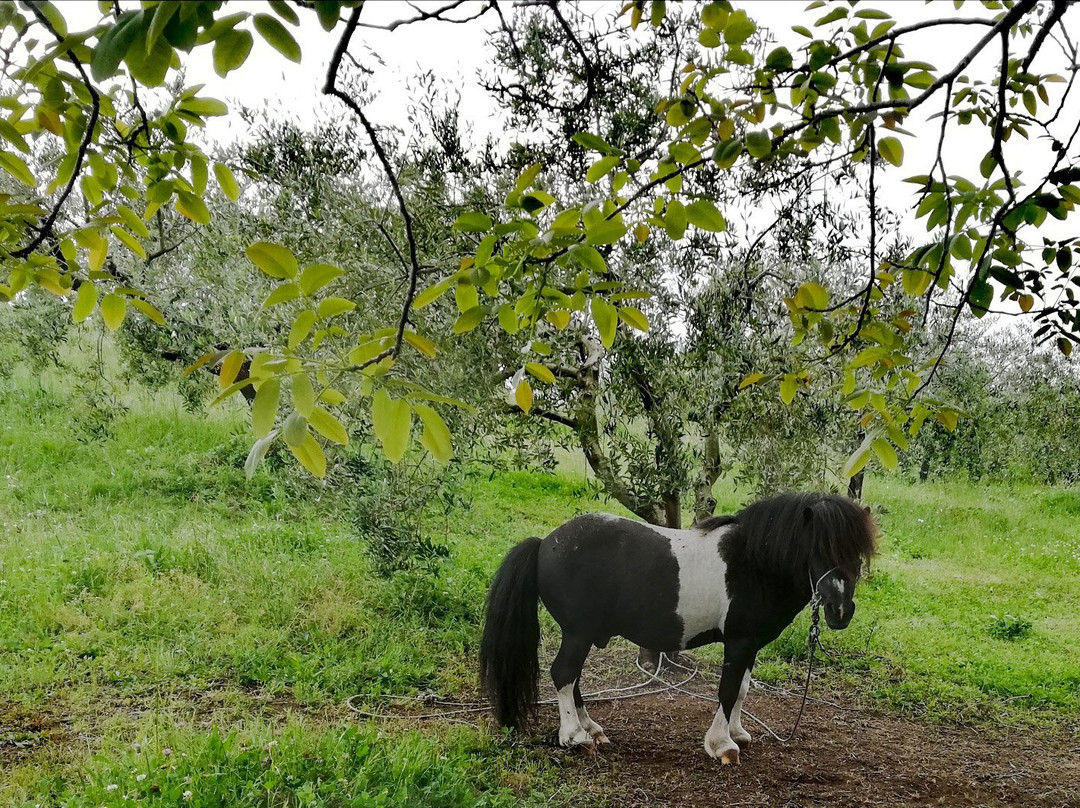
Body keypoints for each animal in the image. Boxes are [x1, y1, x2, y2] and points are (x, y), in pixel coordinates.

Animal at [481, 492, 876, 764]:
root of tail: (544, 544)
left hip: (581, 636)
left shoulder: (750, 646)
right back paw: (575, 736)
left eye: (857, 553)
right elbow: (728, 691)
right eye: (818, 548)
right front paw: (722, 745)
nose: (840, 610)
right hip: (578, 633)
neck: (753, 562)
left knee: (572, 679)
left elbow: (742, 690)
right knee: (563, 674)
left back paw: (591, 729)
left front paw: (738, 733)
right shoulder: (738, 643)